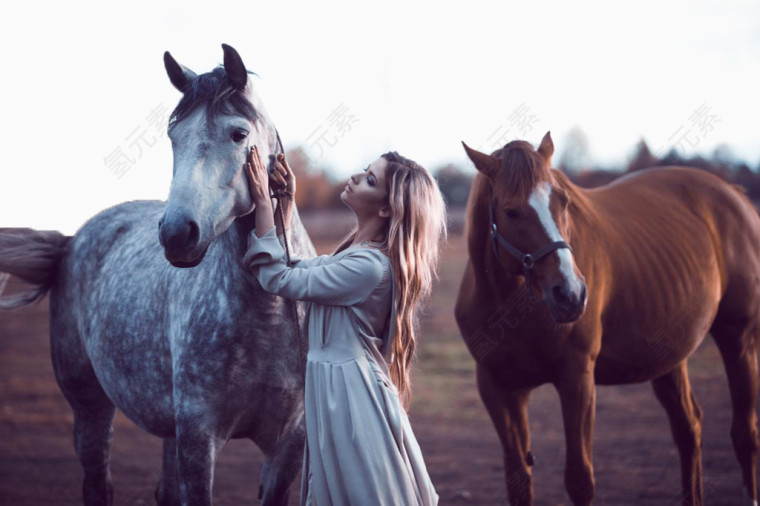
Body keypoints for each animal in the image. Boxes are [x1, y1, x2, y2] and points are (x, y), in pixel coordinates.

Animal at [0, 44, 314, 506]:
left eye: (239, 134)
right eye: (173, 136)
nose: (177, 234)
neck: (269, 313)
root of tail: (73, 240)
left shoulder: (286, 446)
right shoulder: (199, 439)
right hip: (90, 406)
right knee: (97, 483)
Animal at [454, 132, 756, 504]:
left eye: (563, 202)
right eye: (510, 211)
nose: (570, 294)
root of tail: (735, 196)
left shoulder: (577, 377)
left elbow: (580, 479)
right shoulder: (498, 387)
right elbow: (519, 480)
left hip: (739, 338)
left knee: (745, 436)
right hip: (669, 358)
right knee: (689, 429)